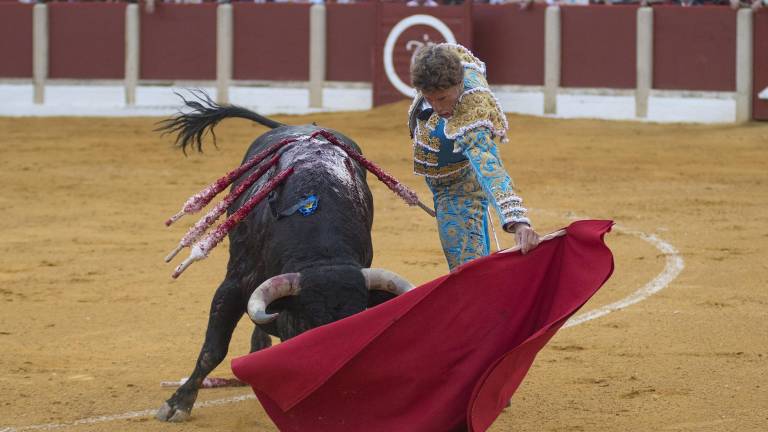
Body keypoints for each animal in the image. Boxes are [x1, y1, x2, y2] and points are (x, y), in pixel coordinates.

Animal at [155, 98, 414, 422]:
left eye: (356, 322)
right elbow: (213, 348)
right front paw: (177, 403)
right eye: (308, 323)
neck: (320, 250)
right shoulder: (235, 282)